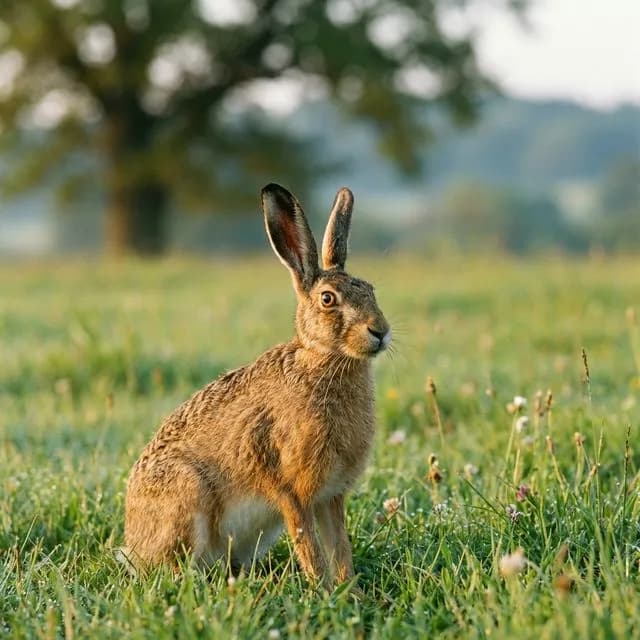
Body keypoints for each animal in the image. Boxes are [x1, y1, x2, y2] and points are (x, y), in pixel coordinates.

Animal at [120, 183, 391, 586]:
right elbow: (310, 547)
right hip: (187, 492)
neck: (321, 359)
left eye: (371, 289)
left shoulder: (331, 495)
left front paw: (349, 591)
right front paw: (323, 590)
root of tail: (132, 544)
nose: (380, 331)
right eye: (328, 299)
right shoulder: (292, 491)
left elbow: (339, 547)